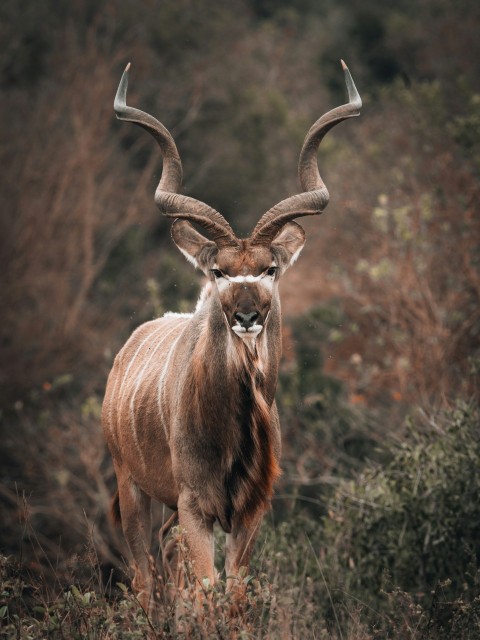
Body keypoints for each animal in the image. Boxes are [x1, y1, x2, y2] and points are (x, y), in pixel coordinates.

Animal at [102, 60, 361, 611]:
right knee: (145, 578)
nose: (246, 316)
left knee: (166, 571)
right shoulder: (195, 507)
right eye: (218, 271)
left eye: (270, 269)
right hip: (133, 489)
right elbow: (204, 593)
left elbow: (233, 594)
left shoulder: (249, 512)